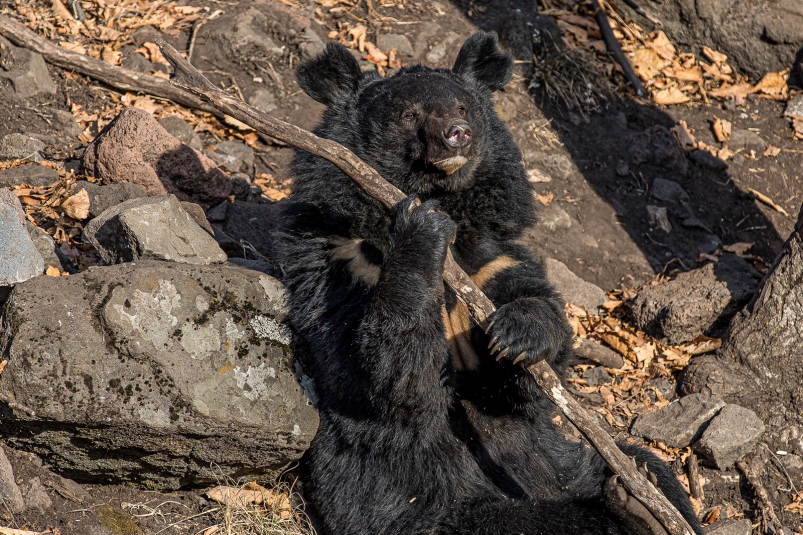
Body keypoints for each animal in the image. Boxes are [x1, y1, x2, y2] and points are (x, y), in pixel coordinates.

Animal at [276, 32, 704, 535]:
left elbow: (532, 364)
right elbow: (386, 375)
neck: (446, 203)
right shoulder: (340, 263)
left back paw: (641, 503)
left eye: (462, 107)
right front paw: (421, 228)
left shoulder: (492, 259)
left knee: (648, 465)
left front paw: (519, 333)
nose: (457, 134)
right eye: (410, 115)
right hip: (424, 508)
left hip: (559, 463)